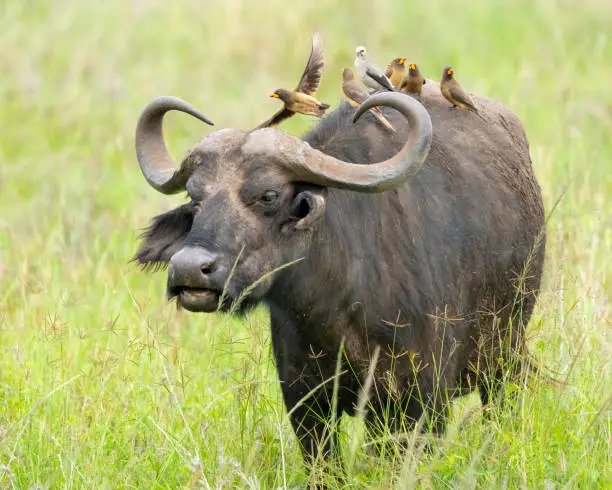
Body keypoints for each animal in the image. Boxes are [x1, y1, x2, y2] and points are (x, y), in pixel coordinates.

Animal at [133, 85, 544, 474]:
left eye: (268, 195)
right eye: (195, 198)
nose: (189, 268)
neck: (338, 310)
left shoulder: (423, 397)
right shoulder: (305, 401)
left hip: (505, 355)